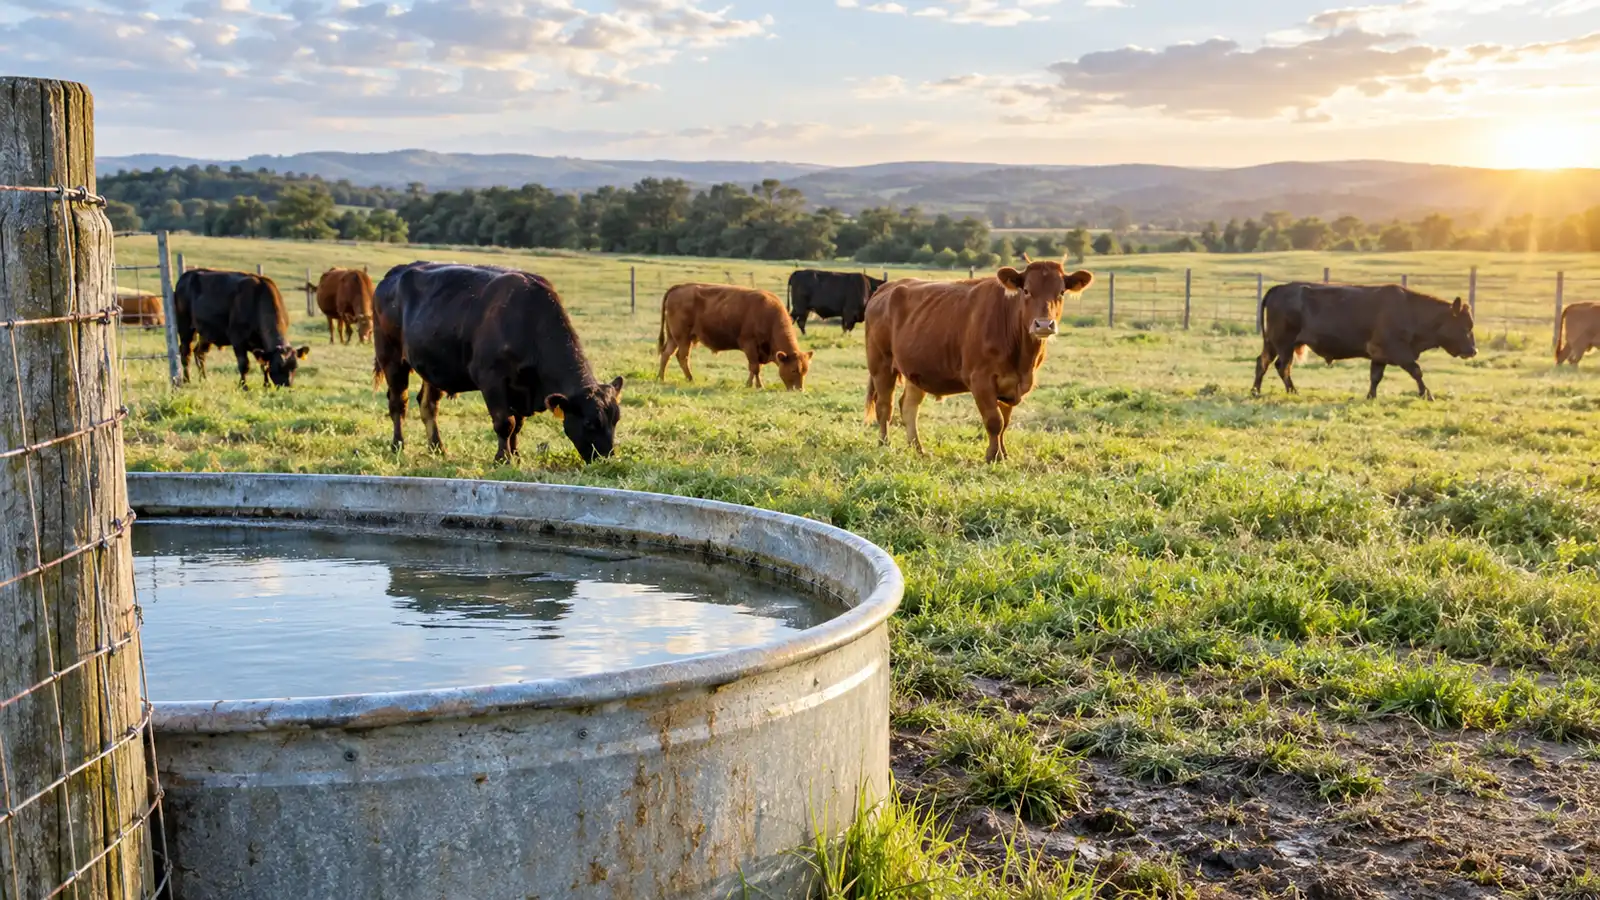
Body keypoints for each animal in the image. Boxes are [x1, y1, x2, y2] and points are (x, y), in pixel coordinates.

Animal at [174, 268, 309, 388]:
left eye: (295, 367)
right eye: (278, 367)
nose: (287, 386)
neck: (258, 300)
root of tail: (186, 276)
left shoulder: (261, 346)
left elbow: (264, 365)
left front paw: (266, 384)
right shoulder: (237, 339)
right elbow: (244, 364)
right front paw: (244, 386)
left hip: (206, 333)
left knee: (200, 353)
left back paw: (204, 379)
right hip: (185, 327)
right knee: (186, 353)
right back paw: (186, 380)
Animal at [373, 262, 624, 464]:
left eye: (616, 419)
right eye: (590, 423)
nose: (607, 459)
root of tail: (398, 271)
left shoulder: (521, 389)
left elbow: (518, 426)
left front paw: (516, 455)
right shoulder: (492, 380)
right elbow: (505, 423)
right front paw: (502, 458)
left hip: (431, 365)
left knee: (428, 405)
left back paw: (438, 448)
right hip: (391, 357)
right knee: (398, 403)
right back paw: (398, 445)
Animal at [657, 283, 814, 390]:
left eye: (805, 370)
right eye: (793, 370)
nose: (799, 390)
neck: (768, 316)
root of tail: (679, 287)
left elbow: (755, 368)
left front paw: (753, 384)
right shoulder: (749, 345)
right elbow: (754, 367)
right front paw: (755, 385)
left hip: (673, 338)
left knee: (666, 354)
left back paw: (661, 377)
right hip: (683, 338)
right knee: (682, 357)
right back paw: (690, 378)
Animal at [865, 261, 1095, 462]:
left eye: (1061, 292)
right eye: (1027, 291)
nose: (1044, 325)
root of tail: (887, 287)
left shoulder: (1011, 384)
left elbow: (1004, 423)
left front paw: (1003, 454)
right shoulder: (980, 379)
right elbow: (994, 421)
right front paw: (993, 456)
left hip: (915, 370)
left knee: (909, 406)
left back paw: (918, 449)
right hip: (881, 365)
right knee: (885, 407)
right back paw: (884, 444)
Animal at [1254, 282, 1477, 400]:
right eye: (1465, 327)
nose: (1473, 351)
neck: (1411, 311)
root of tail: (1279, 288)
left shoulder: (1379, 356)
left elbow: (1375, 377)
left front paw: (1371, 396)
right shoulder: (1398, 351)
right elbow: (1416, 371)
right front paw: (1427, 394)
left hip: (1272, 344)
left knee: (1262, 363)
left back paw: (1255, 391)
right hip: (1284, 344)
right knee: (1282, 366)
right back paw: (1292, 391)